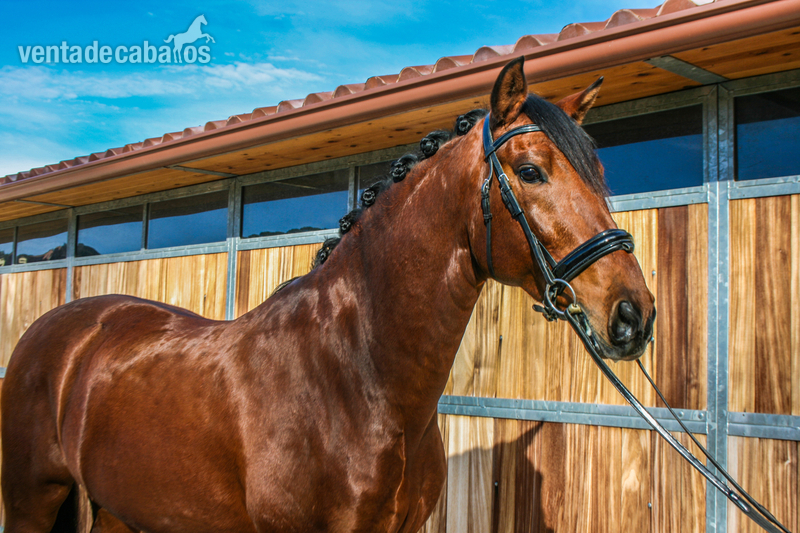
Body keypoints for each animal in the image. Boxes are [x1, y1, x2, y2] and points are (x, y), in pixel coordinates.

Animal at [1, 57, 655, 533]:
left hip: (117, 510)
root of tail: (59, 327)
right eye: (530, 171)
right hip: (32, 502)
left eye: (599, 171)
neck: (352, 378)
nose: (635, 314)